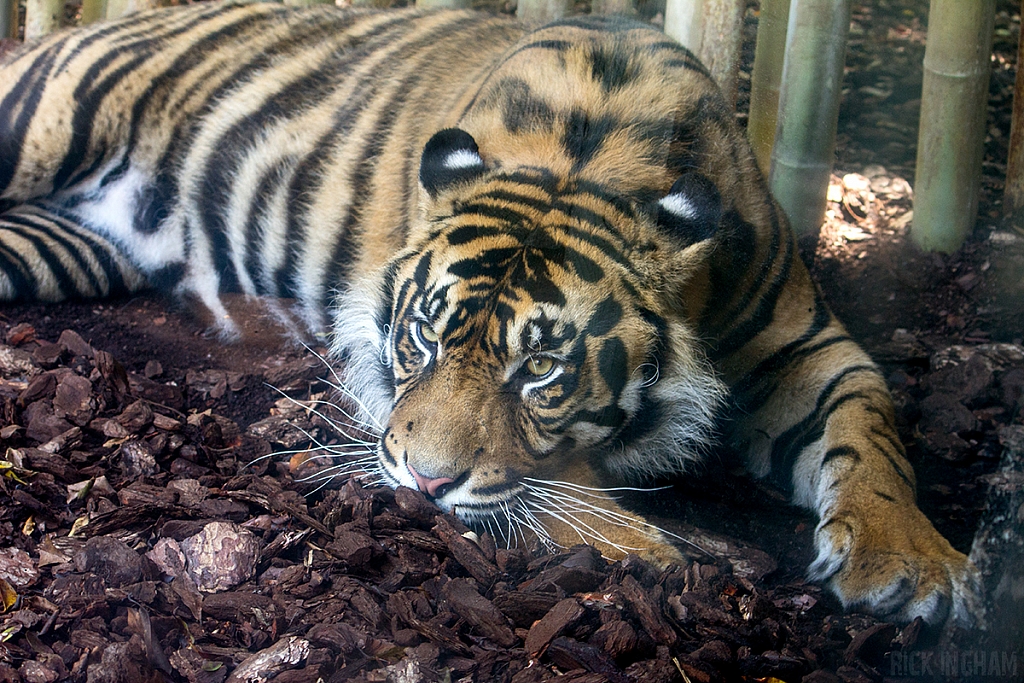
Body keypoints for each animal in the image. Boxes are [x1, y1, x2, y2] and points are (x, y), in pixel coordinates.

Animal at [0, 0, 983, 630]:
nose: (426, 484)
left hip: (55, 247)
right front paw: (658, 551)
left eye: (540, 370)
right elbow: (549, 489)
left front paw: (912, 563)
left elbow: (872, 432)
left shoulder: (805, 346)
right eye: (421, 337)